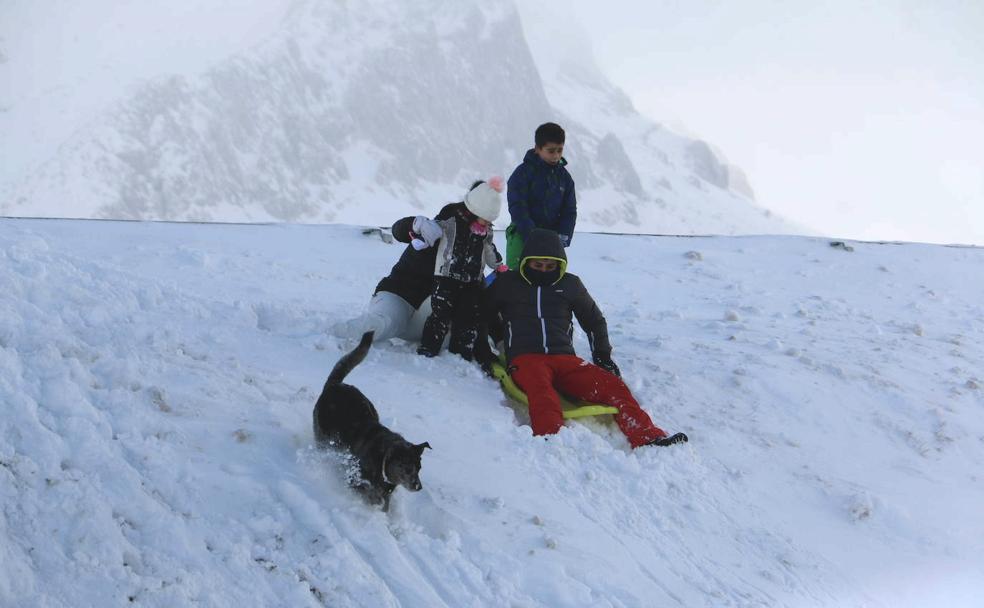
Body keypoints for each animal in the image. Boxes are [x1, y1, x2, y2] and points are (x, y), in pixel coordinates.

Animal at [312, 330, 426, 510]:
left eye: (419, 468)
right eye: (408, 469)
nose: (418, 486)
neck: (383, 459)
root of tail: (335, 385)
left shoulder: (386, 491)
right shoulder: (355, 479)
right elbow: (368, 493)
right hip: (323, 437)